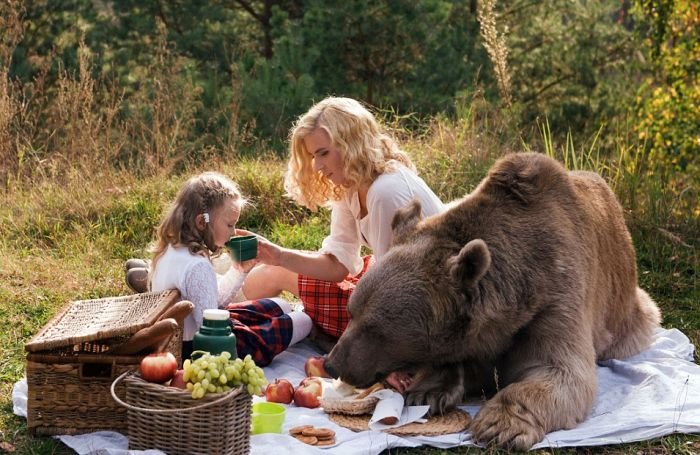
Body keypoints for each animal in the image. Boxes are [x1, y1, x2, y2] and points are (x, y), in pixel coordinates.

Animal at [326, 152, 660, 448]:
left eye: (376, 329)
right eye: (352, 312)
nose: (332, 363)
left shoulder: (556, 296)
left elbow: (561, 370)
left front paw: (499, 425)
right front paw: (429, 390)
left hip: (628, 312)